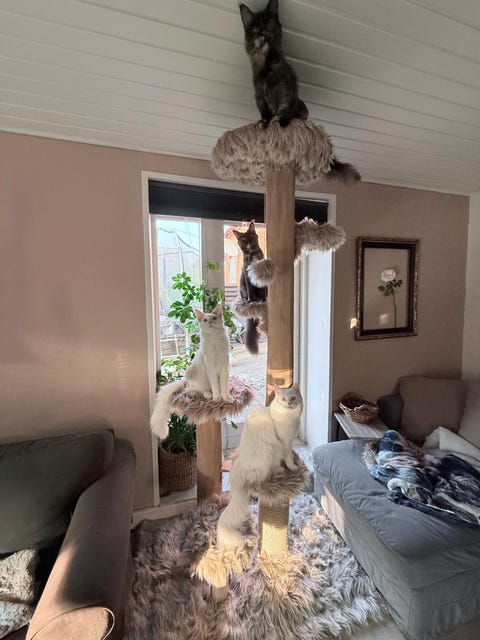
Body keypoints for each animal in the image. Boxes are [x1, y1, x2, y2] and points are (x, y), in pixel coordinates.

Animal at [150, 303, 232, 440]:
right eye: (205, 320)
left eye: (214, 318)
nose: (210, 322)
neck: (215, 341)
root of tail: (185, 380)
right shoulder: (210, 366)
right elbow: (216, 385)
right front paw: (217, 398)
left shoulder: (224, 366)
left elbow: (223, 385)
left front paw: (227, 398)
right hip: (193, 375)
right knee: (194, 389)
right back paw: (207, 394)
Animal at [217, 384, 303, 548]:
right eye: (284, 399)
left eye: (293, 398)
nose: (289, 403)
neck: (289, 417)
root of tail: (237, 469)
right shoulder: (284, 443)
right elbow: (288, 457)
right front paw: (293, 467)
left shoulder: (289, 441)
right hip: (269, 452)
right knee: (266, 473)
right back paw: (279, 471)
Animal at [233, 221, 268, 355]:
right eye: (243, 239)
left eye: (251, 236)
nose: (248, 242)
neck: (252, 256)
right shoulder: (247, 275)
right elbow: (250, 290)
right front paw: (252, 301)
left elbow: (262, 290)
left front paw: (263, 300)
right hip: (241, 288)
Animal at [239, 0, 361, 183]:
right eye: (255, 28)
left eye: (269, 23)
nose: (263, 32)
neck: (266, 68)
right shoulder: (260, 95)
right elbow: (265, 113)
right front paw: (263, 124)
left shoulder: (285, 92)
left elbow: (283, 110)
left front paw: (281, 123)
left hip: (303, 109)